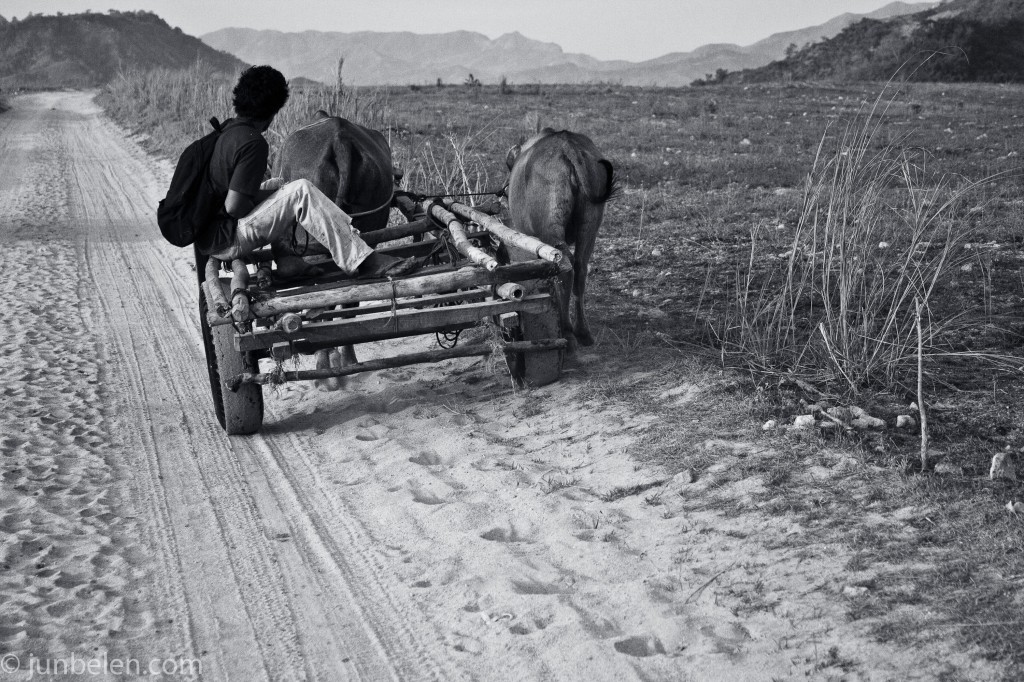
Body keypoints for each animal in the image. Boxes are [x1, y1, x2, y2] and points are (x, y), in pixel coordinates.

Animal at [501, 127, 610, 348]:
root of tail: (568, 146)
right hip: (589, 227)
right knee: (580, 269)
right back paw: (583, 332)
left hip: (551, 234)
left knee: (565, 271)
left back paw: (567, 330)